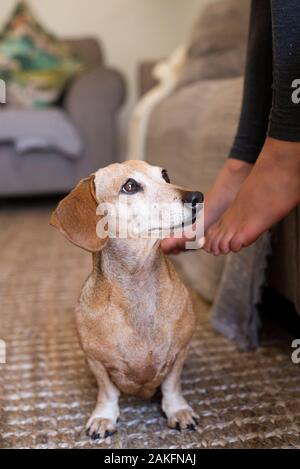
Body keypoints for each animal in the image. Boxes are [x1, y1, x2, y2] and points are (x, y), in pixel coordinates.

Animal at [50, 161, 204, 438]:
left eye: (165, 175)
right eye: (129, 186)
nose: (197, 196)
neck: (138, 284)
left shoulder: (180, 353)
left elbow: (172, 386)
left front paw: (178, 411)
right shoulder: (96, 362)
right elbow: (108, 392)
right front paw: (104, 417)